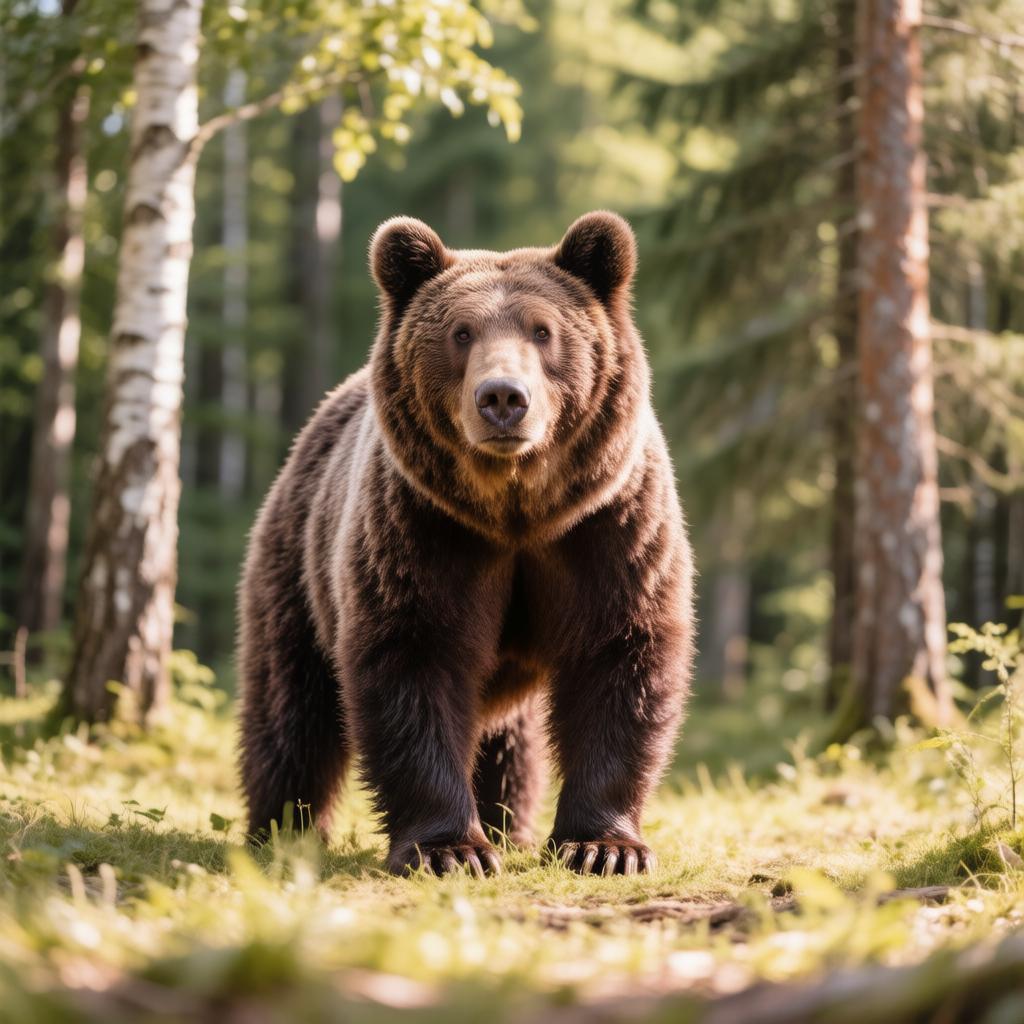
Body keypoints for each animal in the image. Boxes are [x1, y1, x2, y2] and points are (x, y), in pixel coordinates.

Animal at [237, 211, 695, 876]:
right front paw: (451, 850)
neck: (516, 511)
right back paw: (281, 829)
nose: (502, 397)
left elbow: (620, 656)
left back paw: (509, 823)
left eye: (543, 330)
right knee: (292, 706)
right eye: (460, 331)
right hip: (297, 562)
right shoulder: (425, 532)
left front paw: (604, 847)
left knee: (508, 740)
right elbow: (414, 659)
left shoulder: (608, 529)